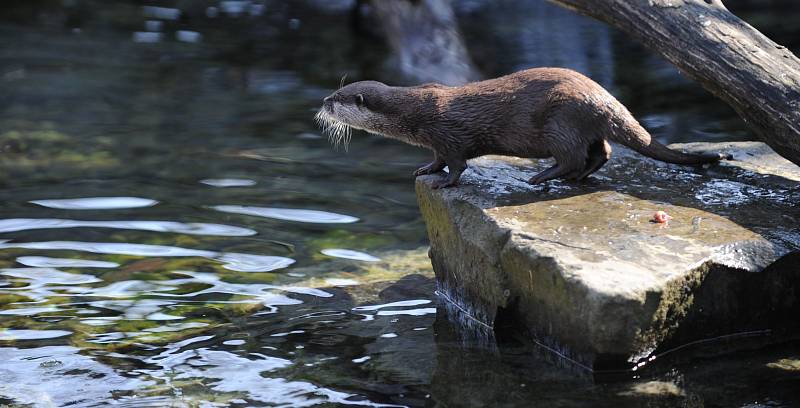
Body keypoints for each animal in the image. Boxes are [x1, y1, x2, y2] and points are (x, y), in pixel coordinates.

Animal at [316, 67, 728, 189]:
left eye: (338, 97)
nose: (322, 101)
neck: (415, 112)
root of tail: (603, 97)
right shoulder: (436, 142)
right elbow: (436, 159)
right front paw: (424, 170)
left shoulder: (447, 134)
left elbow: (457, 164)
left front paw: (444, 183)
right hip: (582, 123)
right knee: (602, 152)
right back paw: (576, 178)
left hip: (562, 119)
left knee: (574, 155)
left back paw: (541, 177)